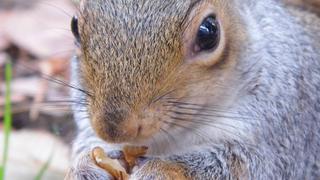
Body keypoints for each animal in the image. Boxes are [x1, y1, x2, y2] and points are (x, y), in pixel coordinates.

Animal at [65, 0, 320, 179]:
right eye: (74, 25)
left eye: (209, 32)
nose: (113, 131)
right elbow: (86, 142)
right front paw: (86, 166)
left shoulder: (280, 128)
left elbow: (242, 166)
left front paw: (160, 170)